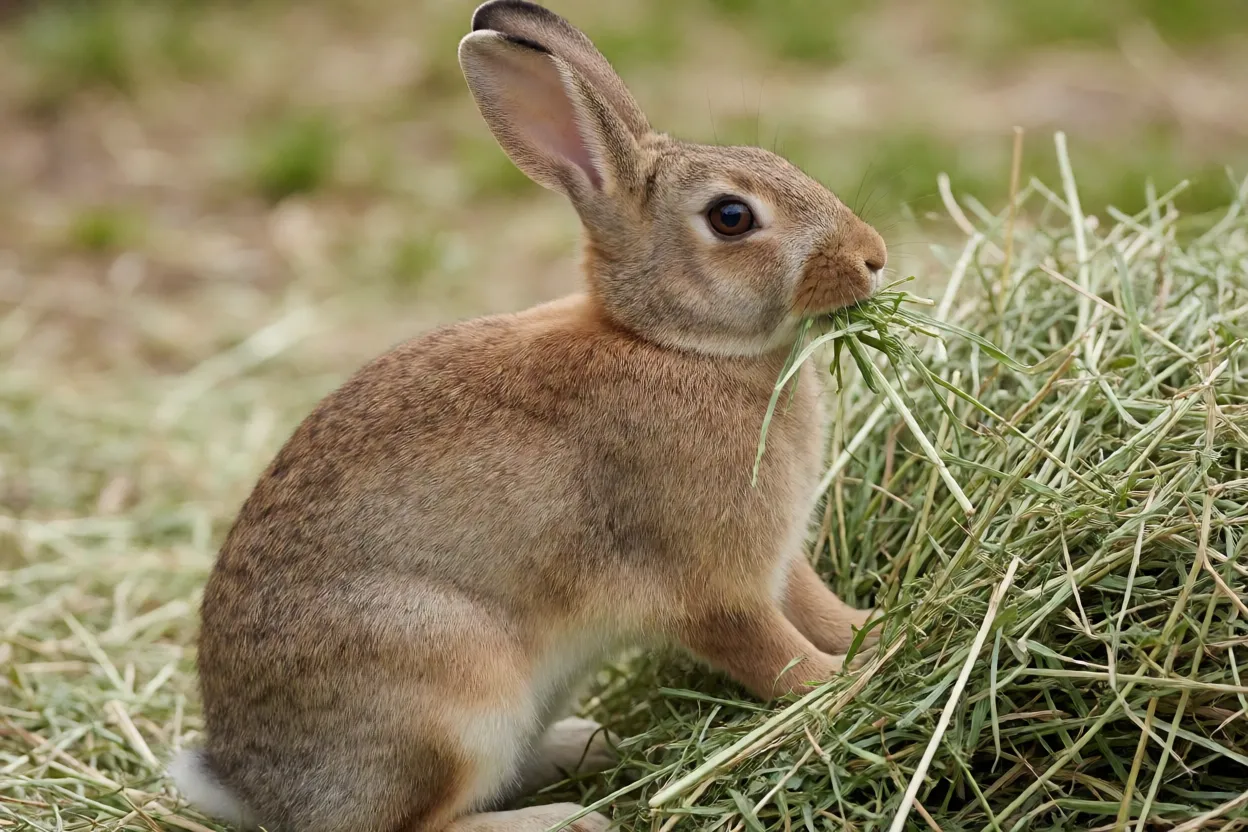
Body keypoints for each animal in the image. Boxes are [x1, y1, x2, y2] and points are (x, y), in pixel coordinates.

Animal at [168, 2, 888, 831]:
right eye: (732, 217)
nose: (874, 256)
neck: (674, 344)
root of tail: (248, 785)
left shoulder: (777, 555)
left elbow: (815, 603)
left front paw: (875, 629)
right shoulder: (713, 582)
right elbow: (774, 654)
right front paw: (849, 677)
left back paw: (587, 743)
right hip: (449, 688)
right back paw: (568, 816)